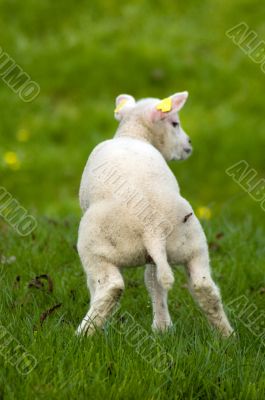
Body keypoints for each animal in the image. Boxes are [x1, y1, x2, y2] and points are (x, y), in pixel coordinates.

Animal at [75, 91, 232, 338]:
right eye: (175, 123)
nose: (189, 145)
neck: (134, 134)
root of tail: (152, 227)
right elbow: (154, 282)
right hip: (191, 241)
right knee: (202, 286)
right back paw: (225, 335)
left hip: (96, 243)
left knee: (111, 286)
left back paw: (83, 334)